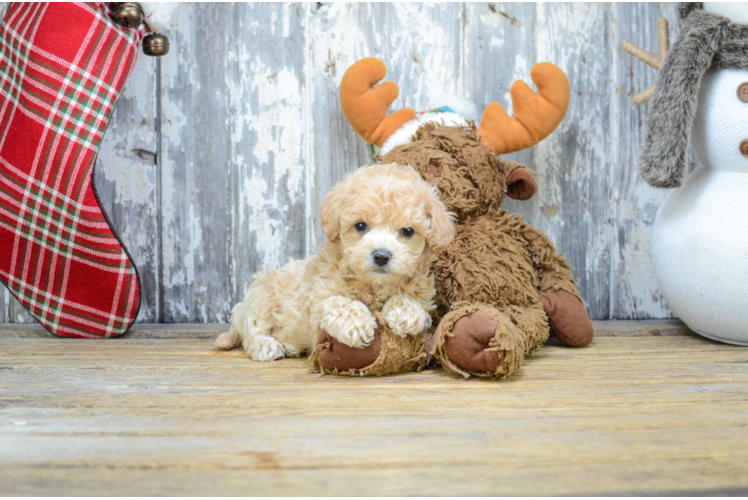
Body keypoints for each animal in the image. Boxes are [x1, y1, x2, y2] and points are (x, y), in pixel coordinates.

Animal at [213, 163, 452, 360]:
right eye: (361, 226)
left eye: (408, 231)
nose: (381, 256)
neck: (375, 286)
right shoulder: (317, 301)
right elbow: (338, 302)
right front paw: (357, 323)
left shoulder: (424, 297)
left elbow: (412, 302)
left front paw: (405, 313)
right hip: (261, 294)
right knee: (253, 329)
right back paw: (266, 345)